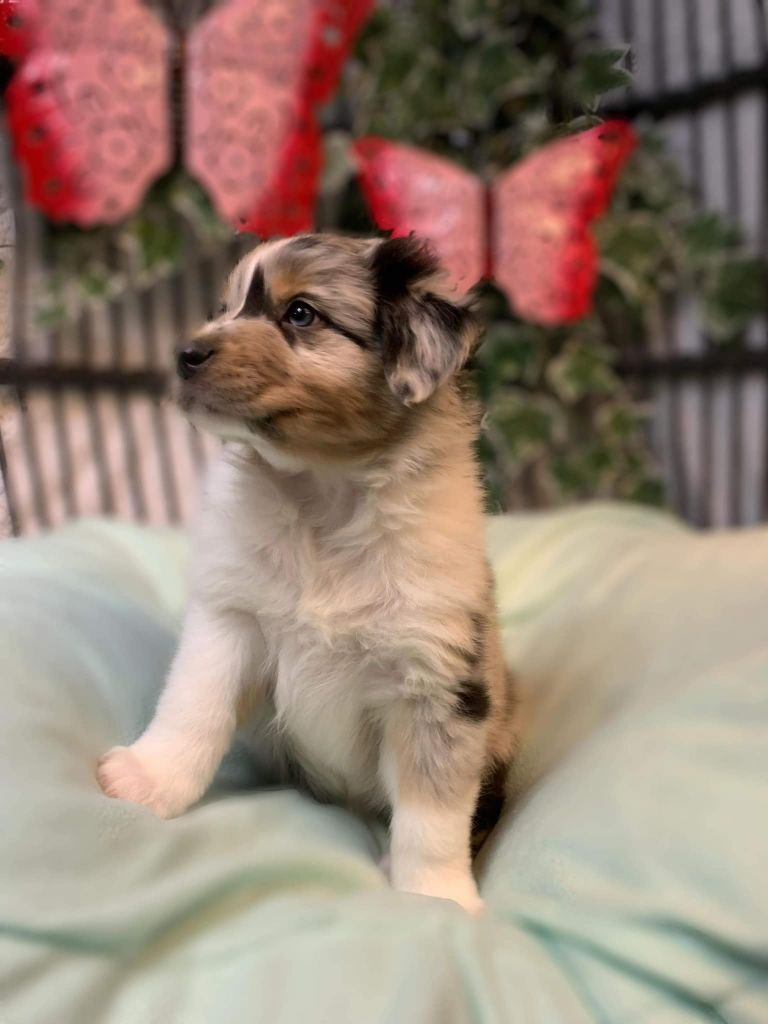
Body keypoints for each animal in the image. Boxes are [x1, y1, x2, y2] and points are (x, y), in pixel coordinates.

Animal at [97, 232, 516, 913]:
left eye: (300, 313)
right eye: (223, 307)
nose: (183, 354)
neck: (323, 497)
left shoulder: (436, 677)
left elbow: (433, 810)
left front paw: (437, 899)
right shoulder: (230, 621)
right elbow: (192, 708)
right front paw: (147, 780)